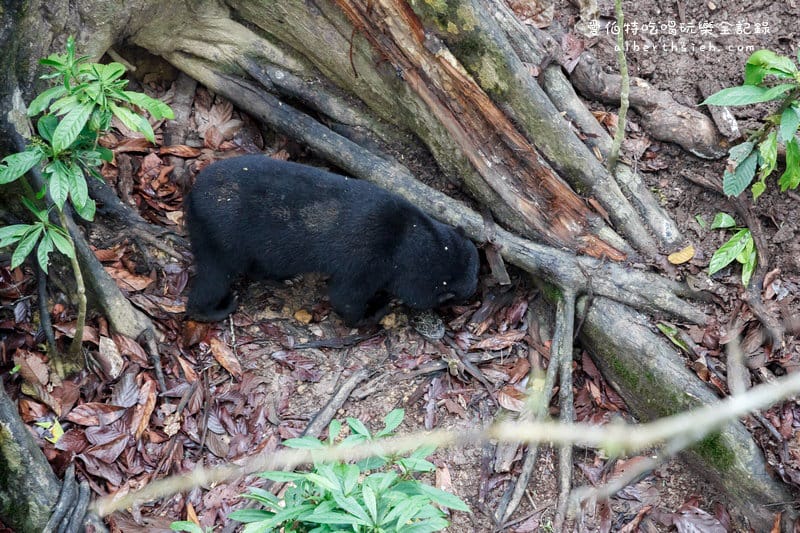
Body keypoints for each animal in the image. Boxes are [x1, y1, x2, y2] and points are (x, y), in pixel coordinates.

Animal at [184, 155, 479, 326]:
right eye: (456, 295)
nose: (476, 286)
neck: (406, 237)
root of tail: (192, 193)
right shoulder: (368, 262)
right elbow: (345, 299)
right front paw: (376, 311)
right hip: (218, 238)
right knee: (213, 278)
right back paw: (215, 310)